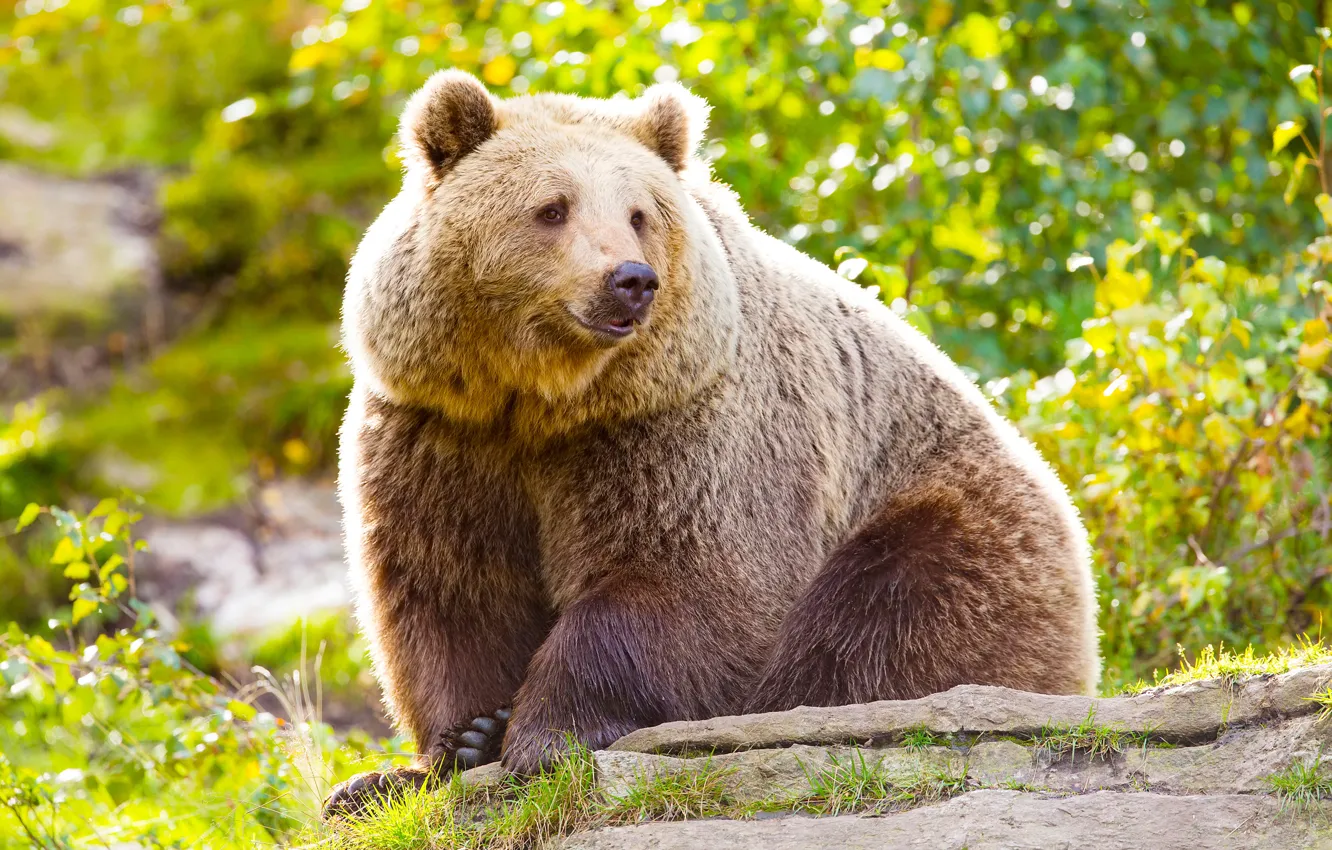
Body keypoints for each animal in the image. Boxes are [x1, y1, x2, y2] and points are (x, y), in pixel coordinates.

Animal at [323, 69, 1100, 817]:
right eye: (552, 208)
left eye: (638, 213)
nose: (630, 280)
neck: (545, 399)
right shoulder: (442, 430)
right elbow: (449, 587)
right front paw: (457, 742)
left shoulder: (682, 424)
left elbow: (681, 578)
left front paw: (545, 735)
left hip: (945, 522)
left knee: (888, 623)